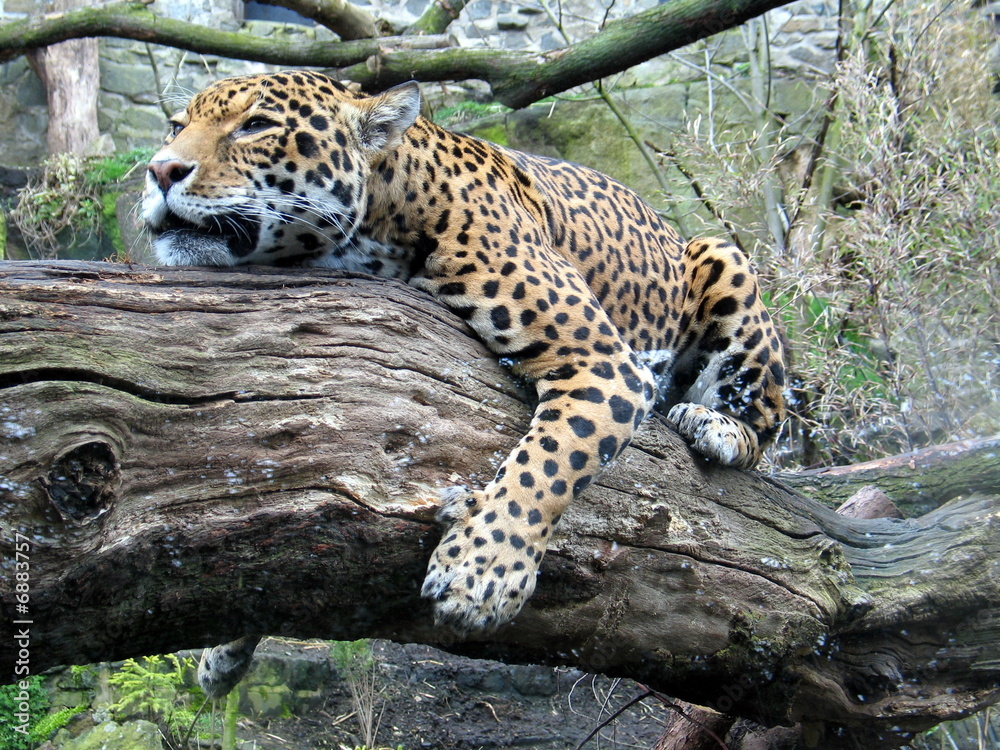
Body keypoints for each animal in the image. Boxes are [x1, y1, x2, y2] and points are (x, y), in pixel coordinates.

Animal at [142, 70, 786, 633]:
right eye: (175, 125)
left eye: (255, 125)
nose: (159, 169)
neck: (385, 219)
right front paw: (223, 654)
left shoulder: (604, 361)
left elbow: (547, 464)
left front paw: (482, 577)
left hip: (723, 258)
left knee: (767, 426)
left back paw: (714, 426)